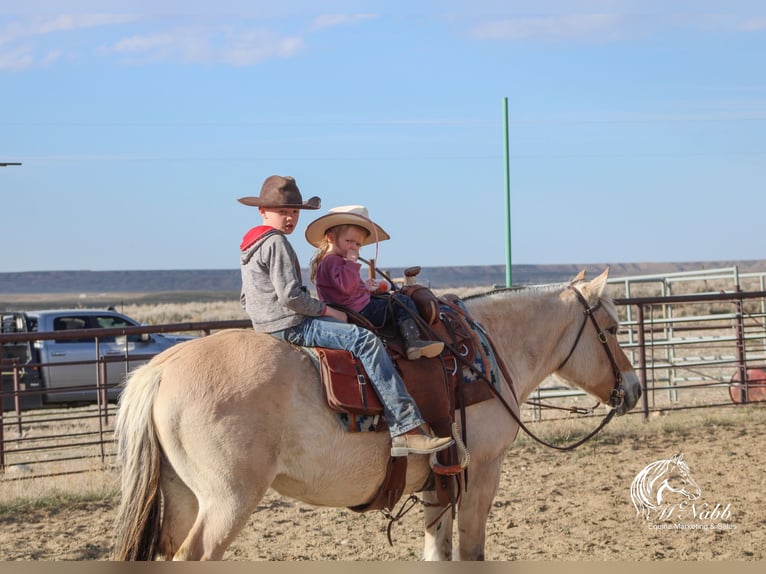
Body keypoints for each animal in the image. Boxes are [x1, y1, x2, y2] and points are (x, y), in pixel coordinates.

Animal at [114, 270, 640, 564]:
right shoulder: (482, 472)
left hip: (182, 496)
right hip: (227, 500)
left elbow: (438, 552)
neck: (481, 355)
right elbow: (471, 551)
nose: (634, 390)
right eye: (613, 329)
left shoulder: (438, 481)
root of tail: (161, 370)